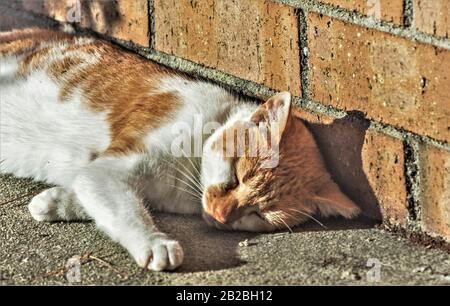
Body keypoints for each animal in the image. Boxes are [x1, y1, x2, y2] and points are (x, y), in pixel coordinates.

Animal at [0, 27, 360, 272]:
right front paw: (155, 243)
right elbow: (126, 209)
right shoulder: (111, 169)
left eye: (258, 214)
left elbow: (97, 197)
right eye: (235, 178)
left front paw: (53, 202)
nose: (221, 215)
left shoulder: (101, 176)